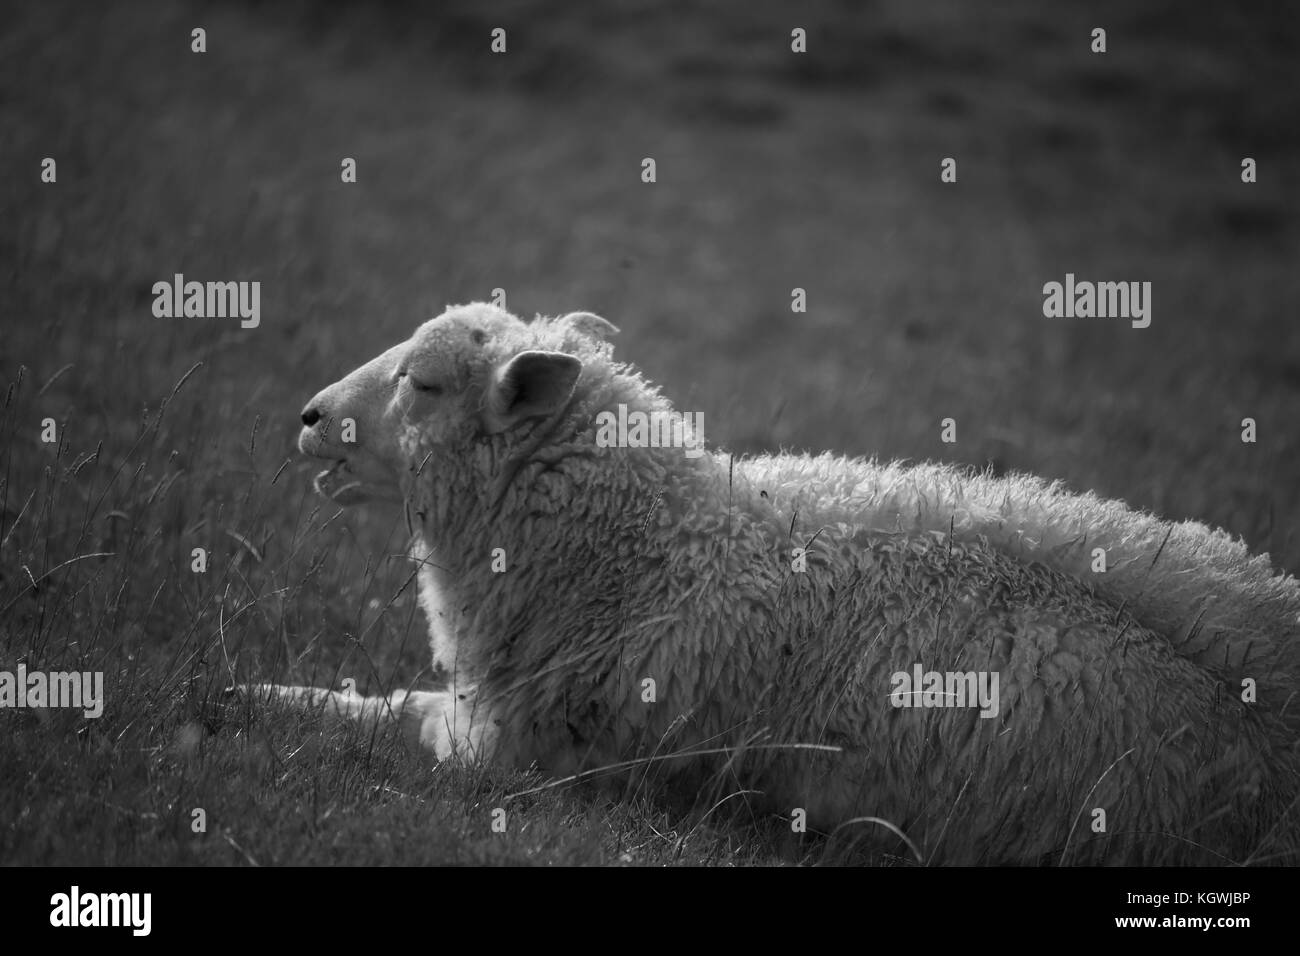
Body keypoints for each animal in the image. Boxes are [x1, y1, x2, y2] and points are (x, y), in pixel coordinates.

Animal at [256, 301, 1300, 865]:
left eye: (426, 383)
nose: (305, 416)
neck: (647, 551)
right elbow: (389, 701)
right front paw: (259, 692)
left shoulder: (520, 758)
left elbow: (390, 717)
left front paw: (262, 700)